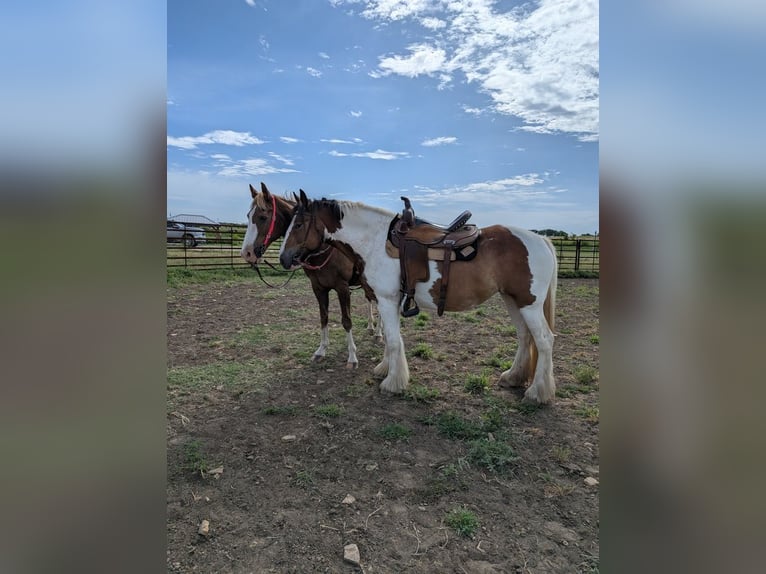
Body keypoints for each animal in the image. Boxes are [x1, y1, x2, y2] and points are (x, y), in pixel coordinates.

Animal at [241, 183, 381, 368]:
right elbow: (323, 317)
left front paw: (352, 357)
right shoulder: (318, 288)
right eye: (248, 216)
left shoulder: (342, 288)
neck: (325, 248)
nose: (247, 253)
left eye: (263, 217)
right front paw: (321, 350)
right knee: (371, 300)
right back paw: (372, 327)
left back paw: (379, 334)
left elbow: (346, 320)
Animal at [279, 190, 559, 404]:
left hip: (529, 304)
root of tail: (541, 239)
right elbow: (391, 339)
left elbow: (393, 341)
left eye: (299, 224)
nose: (284, 258)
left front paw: (393, 383)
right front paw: (385, 369)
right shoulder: (387, 301)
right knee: (525, 337)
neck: (375, 240)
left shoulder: (387, 299)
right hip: (512, 300)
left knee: (544, 341)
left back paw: (537, 392)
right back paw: (513, 377)